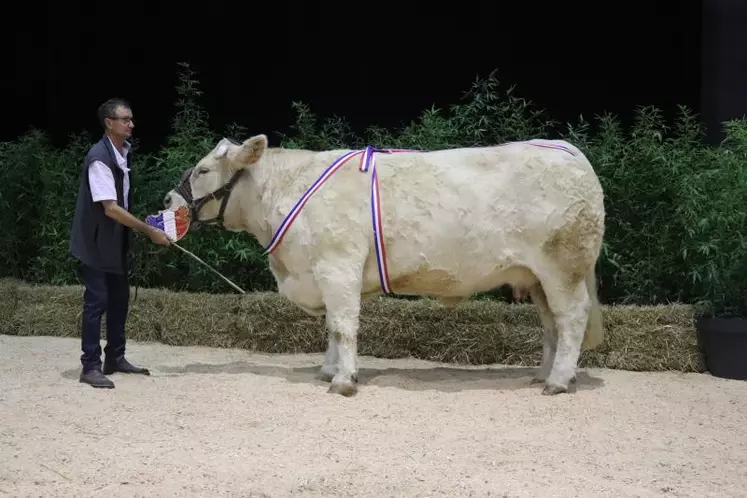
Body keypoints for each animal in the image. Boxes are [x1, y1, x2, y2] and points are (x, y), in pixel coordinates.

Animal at [161, 133, 604, 396]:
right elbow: (332, 328)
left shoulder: (337, 265)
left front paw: (343, 381)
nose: (167, 200)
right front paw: (328, 370)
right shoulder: (324, 273)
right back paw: (543, 374)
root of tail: (568, 150)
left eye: (202, 170)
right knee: (552, 324)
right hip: (538, 277)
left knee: (572, 317)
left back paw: (559, 381)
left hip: (563, 266)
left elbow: (343, 325)